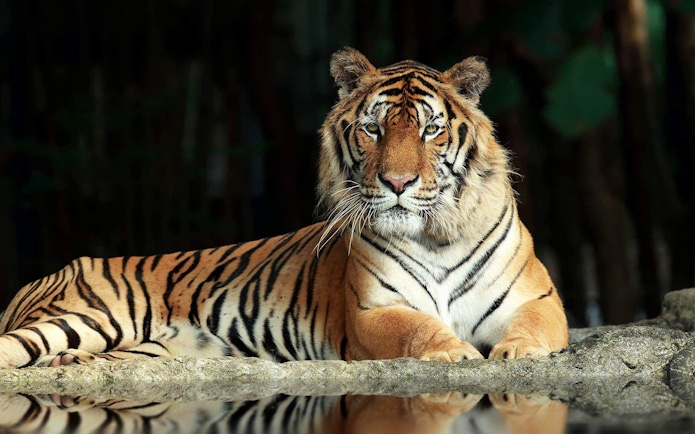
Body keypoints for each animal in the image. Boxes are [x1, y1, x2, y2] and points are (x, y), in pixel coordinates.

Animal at [0, 47, 568, 369]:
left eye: (431, 129)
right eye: (373, 128)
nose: (398, 182)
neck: (434, 234)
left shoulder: (536, 299)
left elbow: (532, 329)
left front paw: (518, 352)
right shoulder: (374, 311)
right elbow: (418, 330)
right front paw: (455, 351)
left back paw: (68, 363)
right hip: (84, 315)